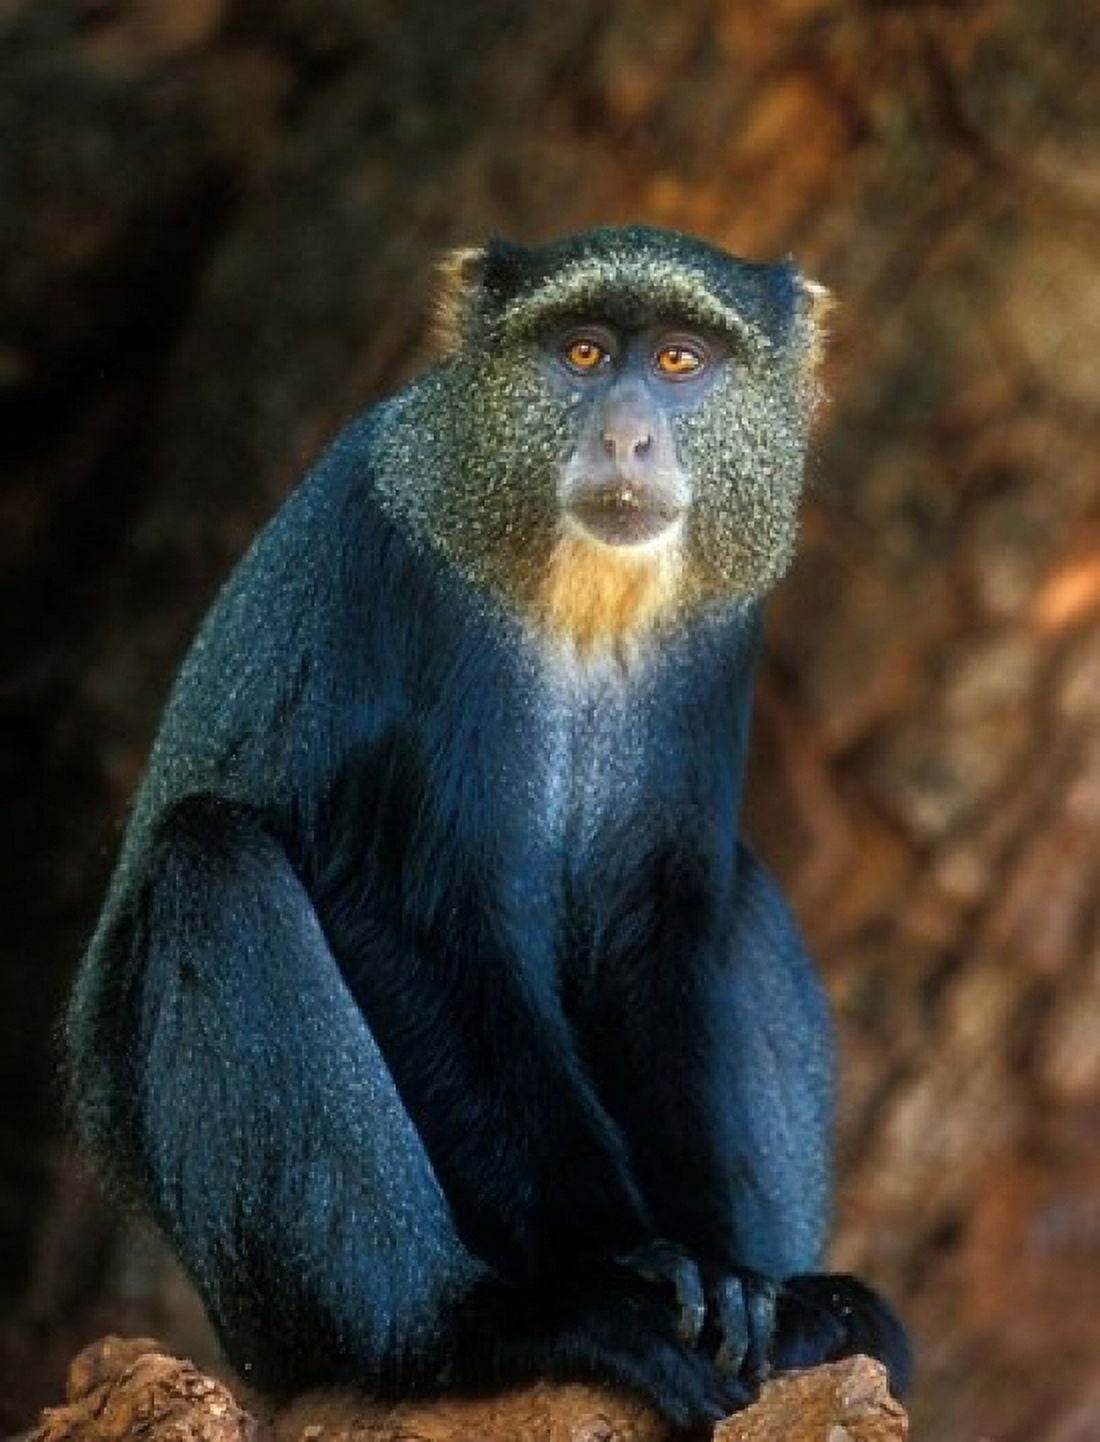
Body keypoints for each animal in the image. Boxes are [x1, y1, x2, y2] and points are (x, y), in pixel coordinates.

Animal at [65, 225, 910, 1429]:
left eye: (681, 361)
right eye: (583, 349)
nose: (626, 431)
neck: (579, 600)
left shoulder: (717, 637)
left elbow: (657, 922)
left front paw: (730, 1277)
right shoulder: (413, 590)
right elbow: (419, 919)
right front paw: (621, 1268)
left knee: (739, 890)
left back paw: (810, 1313)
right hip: (255, 1310)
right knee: (210, 866)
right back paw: (472, 1327)